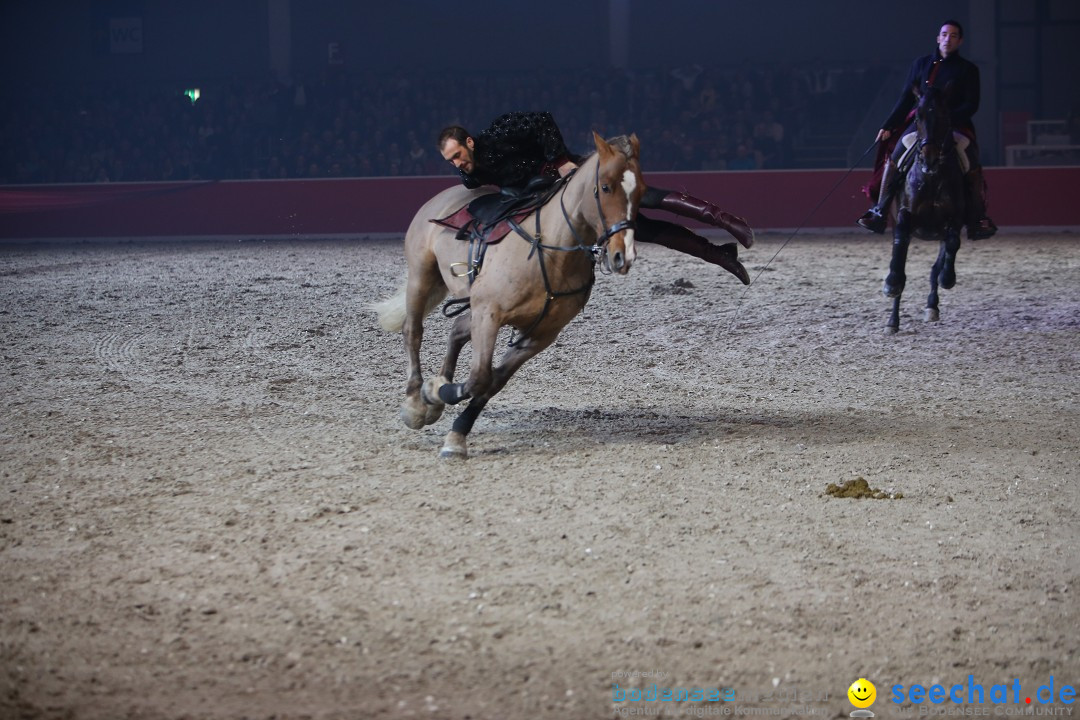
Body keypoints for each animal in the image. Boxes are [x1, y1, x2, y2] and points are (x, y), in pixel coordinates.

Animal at [373, 132, 639, 459]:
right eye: (605, 187)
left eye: (641, 190)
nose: (623, 256)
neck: (549, 251)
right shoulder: (489, 314)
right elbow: (479, 377)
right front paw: (434, 393)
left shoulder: (539, 334)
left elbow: (493, 381)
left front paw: (456, 432)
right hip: (421, 276)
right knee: (413, 330)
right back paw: (415, 401)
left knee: (457, 329)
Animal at [881, 83, 967, 334]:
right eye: (917, 117)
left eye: (945, 116)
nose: (929, 159)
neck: (931, 178)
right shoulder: (905, 216)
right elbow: (899, 246)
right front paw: (891, 283)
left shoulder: (954, 218)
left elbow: (952, 244)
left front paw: (947, 278)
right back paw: (892, 321)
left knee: (936, 265)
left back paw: (932, 306)